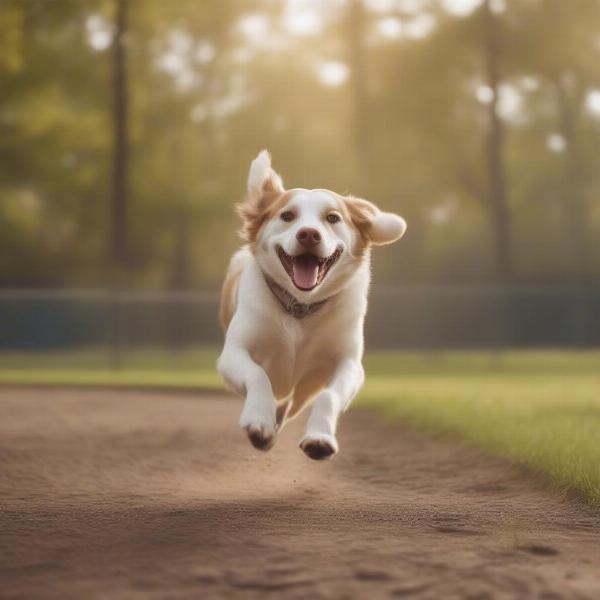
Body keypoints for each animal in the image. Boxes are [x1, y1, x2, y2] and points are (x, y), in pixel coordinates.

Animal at [218, 150, 406, 460]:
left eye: (333, 218)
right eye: (287, 215)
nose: (308, 234)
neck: (300, 308)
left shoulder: (348, 364)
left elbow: (329, 396)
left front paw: (320, 438)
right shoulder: (233, 353)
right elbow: (257, 374)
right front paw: (258, 419)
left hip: (305, 388)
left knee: (291, 405)